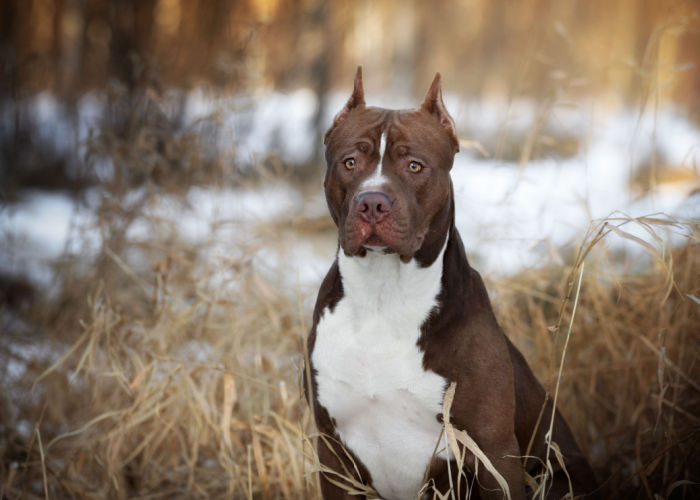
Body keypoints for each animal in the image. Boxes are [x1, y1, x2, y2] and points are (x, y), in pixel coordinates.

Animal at [306, 67, 596, 500]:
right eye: (350, 162)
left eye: (414, 166)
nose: (372, 202)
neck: (383, 294)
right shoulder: (333, 453)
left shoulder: (491, 452)